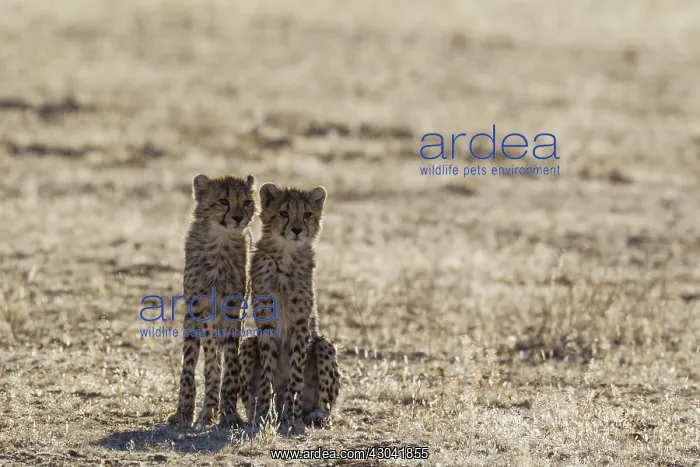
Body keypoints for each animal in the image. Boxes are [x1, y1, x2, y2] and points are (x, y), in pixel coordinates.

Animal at [167, 173, 256, 429]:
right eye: (223, 201)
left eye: (246, 202)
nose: (238, 218)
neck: (220, 242)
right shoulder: (202, 306)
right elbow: (208, 362)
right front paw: (203, 411)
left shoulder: (234, 309)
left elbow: (231, 363)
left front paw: (229, 412)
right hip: (191, 320)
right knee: (194, 359)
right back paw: (187, 410)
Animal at [238, 182, 341, 432]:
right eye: (284, 213)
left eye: (307, 214)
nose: (296, 230)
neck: (285, 255)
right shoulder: (266, 323)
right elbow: (267, 374)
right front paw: (264, 414)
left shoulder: (301, 324)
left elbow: (295, 375)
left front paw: (290, 415)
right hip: (248, 345)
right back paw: (256, 413)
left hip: (323, 345)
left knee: (324, 402)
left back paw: (316, 414)